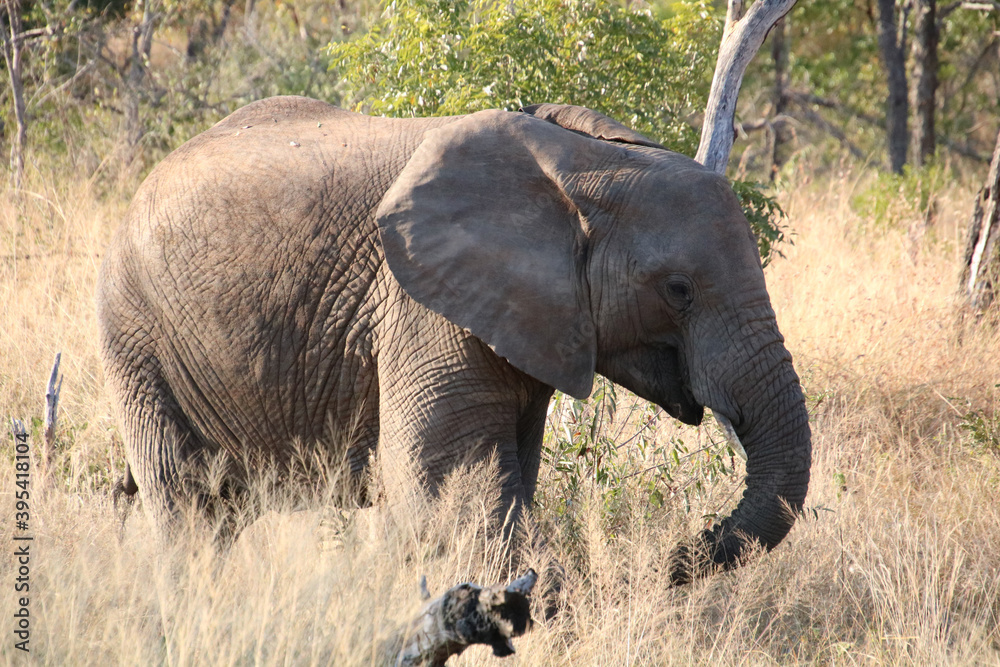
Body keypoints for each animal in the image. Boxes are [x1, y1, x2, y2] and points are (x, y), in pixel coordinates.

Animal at [97, 96, 811, 579]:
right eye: (678, 289)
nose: (674, 557)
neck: (585, 163)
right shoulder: (421, 306)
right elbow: (447, 487)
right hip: (136, 338)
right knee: (190, 511)